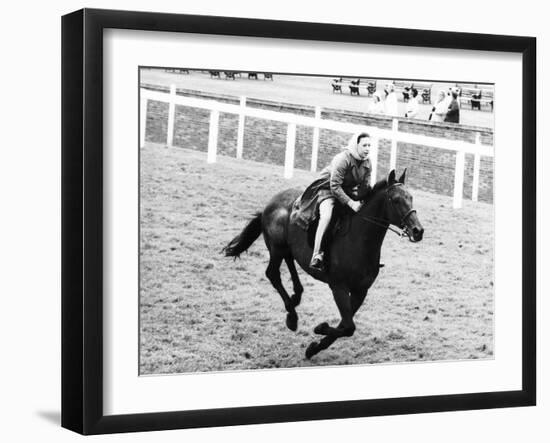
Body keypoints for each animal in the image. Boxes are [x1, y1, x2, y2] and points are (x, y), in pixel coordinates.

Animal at [222, 168, 424, 360]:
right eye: (396, 200)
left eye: (411, 198)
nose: (418, 230)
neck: (359, 239)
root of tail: (270, 204)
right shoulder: (339, 287)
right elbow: (348, 327)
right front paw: (320, 328)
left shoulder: (360, 291)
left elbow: (345, 325)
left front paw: (314, 348)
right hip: (276, 247)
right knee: (272, 274)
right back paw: (292, 316)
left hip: (286, 248)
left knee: (290, 263)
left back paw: (296, 298)